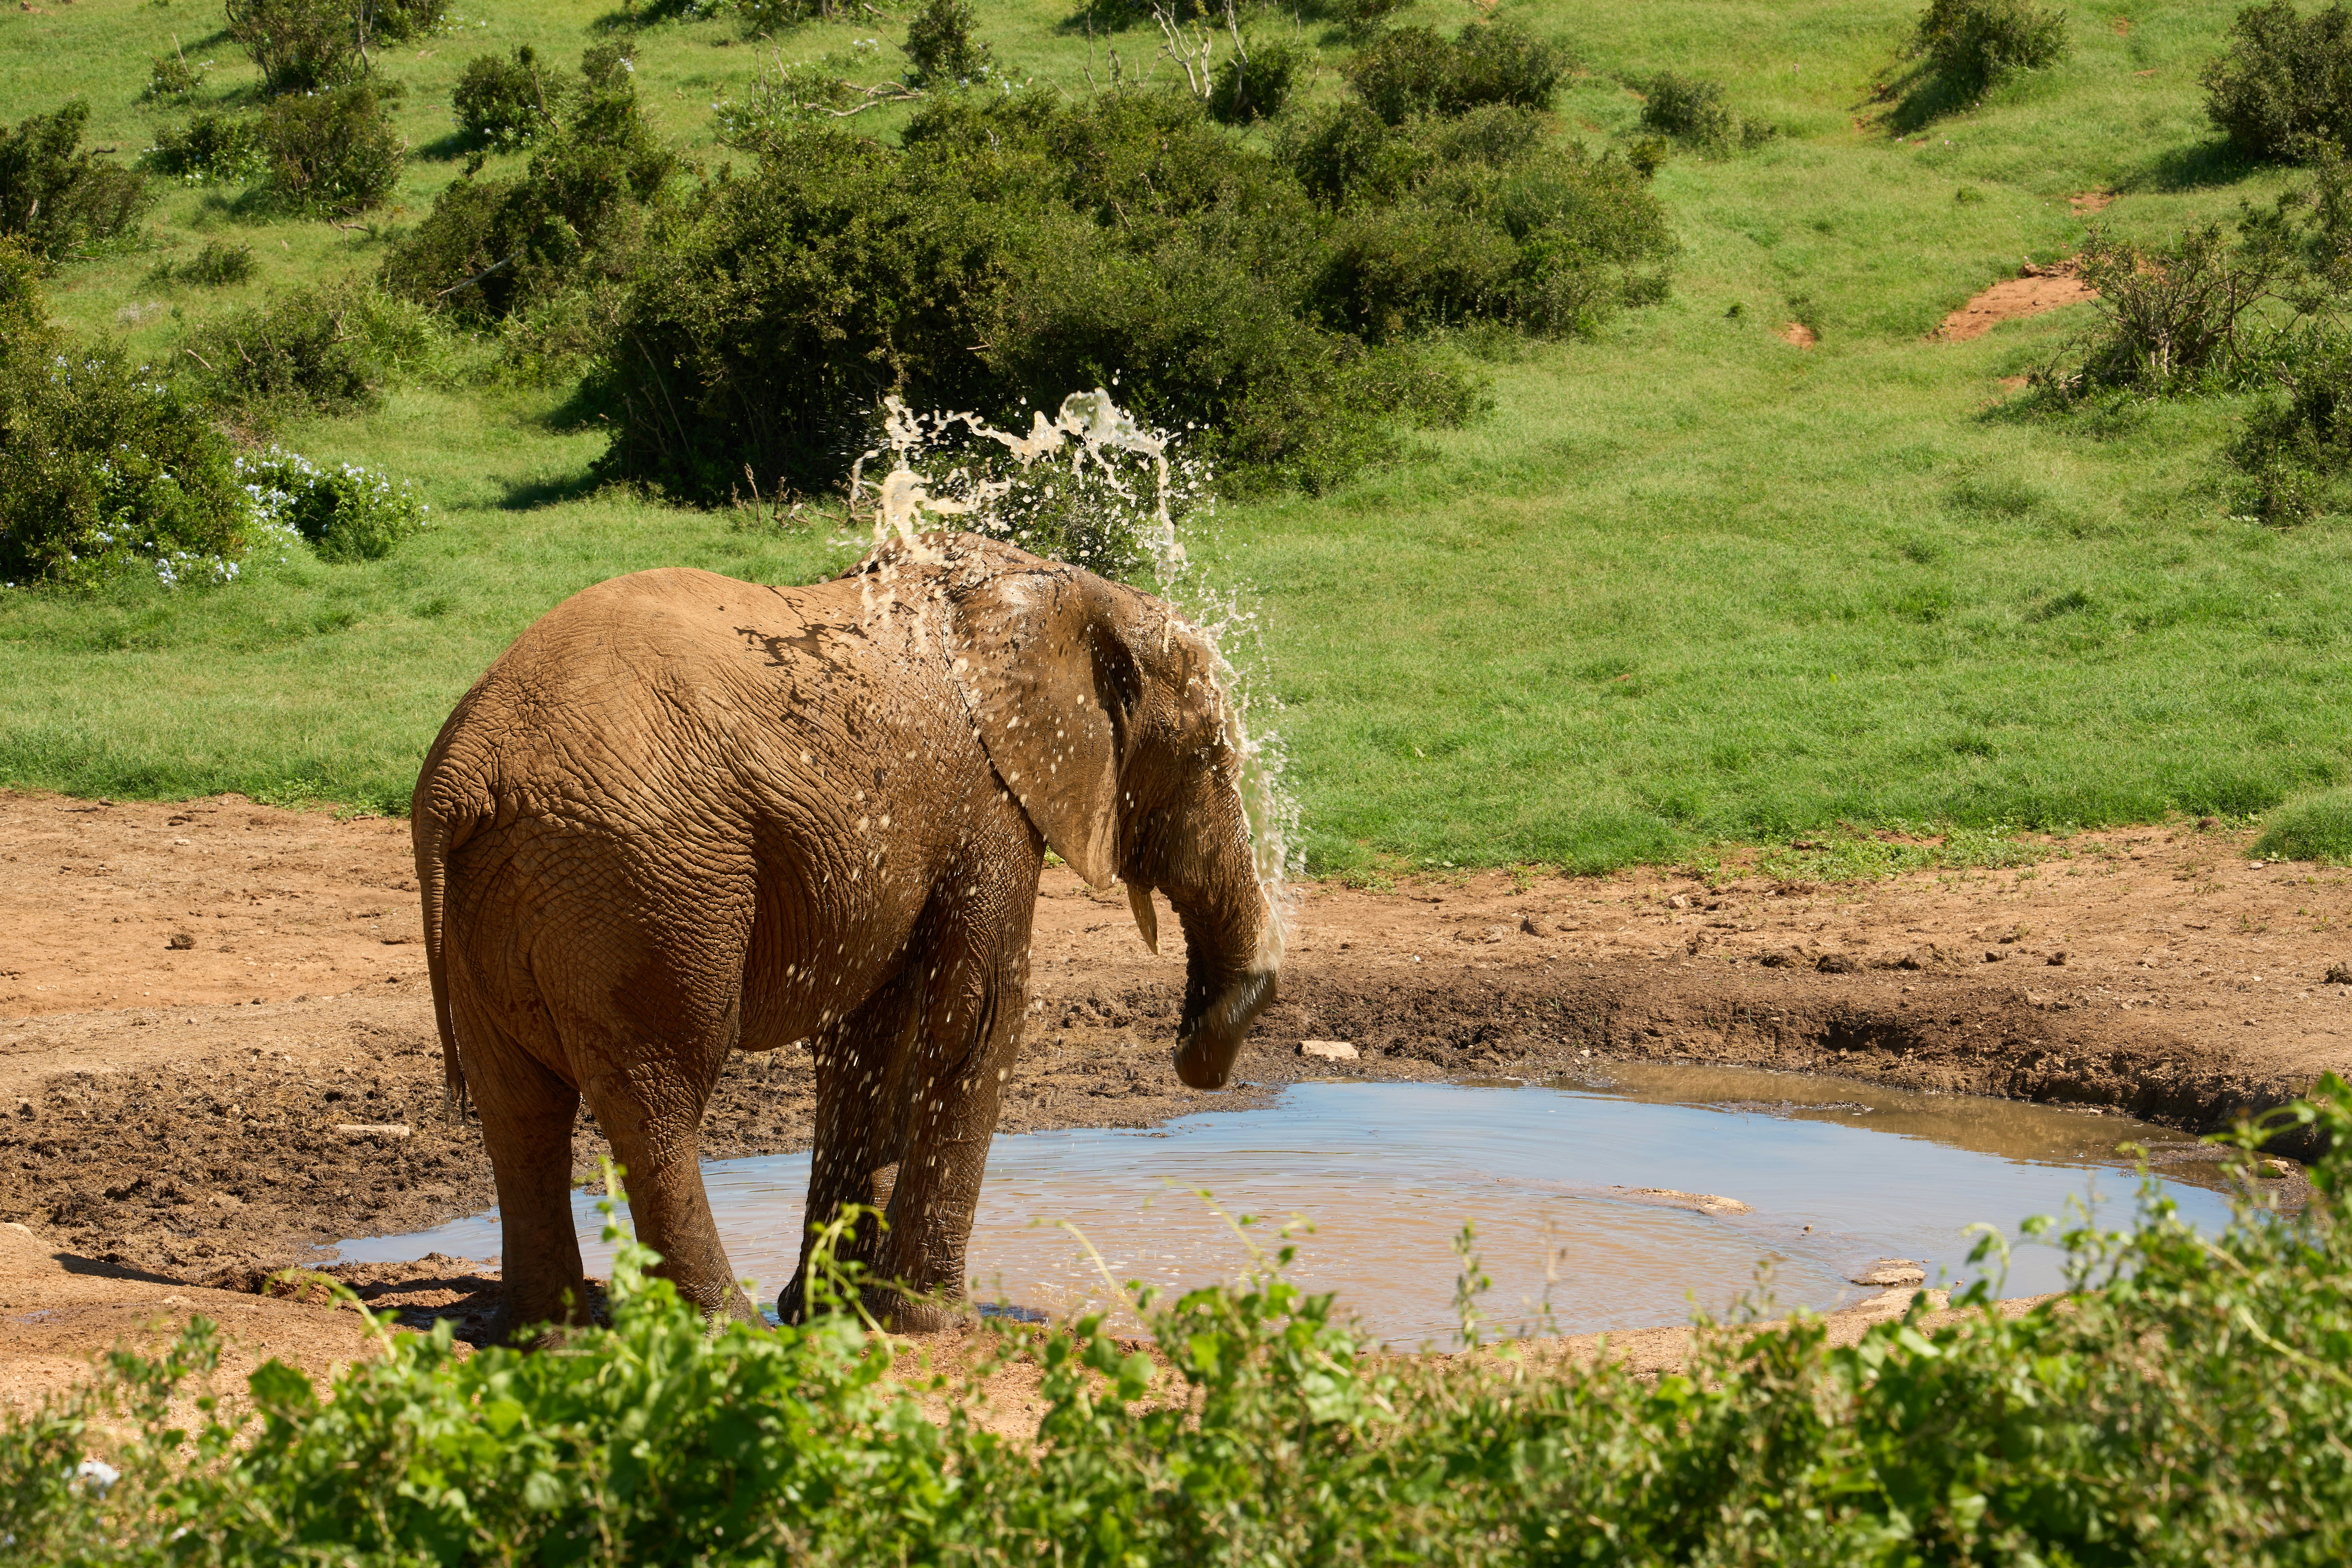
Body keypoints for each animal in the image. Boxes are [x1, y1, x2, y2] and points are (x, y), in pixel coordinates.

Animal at [411, 533, 1281, 1337]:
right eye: (1211, 755)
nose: (1194, 1053)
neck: (1053, 593)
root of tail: (465, 772)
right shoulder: (990, 798)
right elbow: (981, 1013)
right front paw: (933, 1320)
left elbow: (870, 1032)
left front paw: (836, 1311)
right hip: (644, 885)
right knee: (657, 1097)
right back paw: (721, 1326)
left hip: (519, 899)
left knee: (520, 1110)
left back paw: (549, 1333)